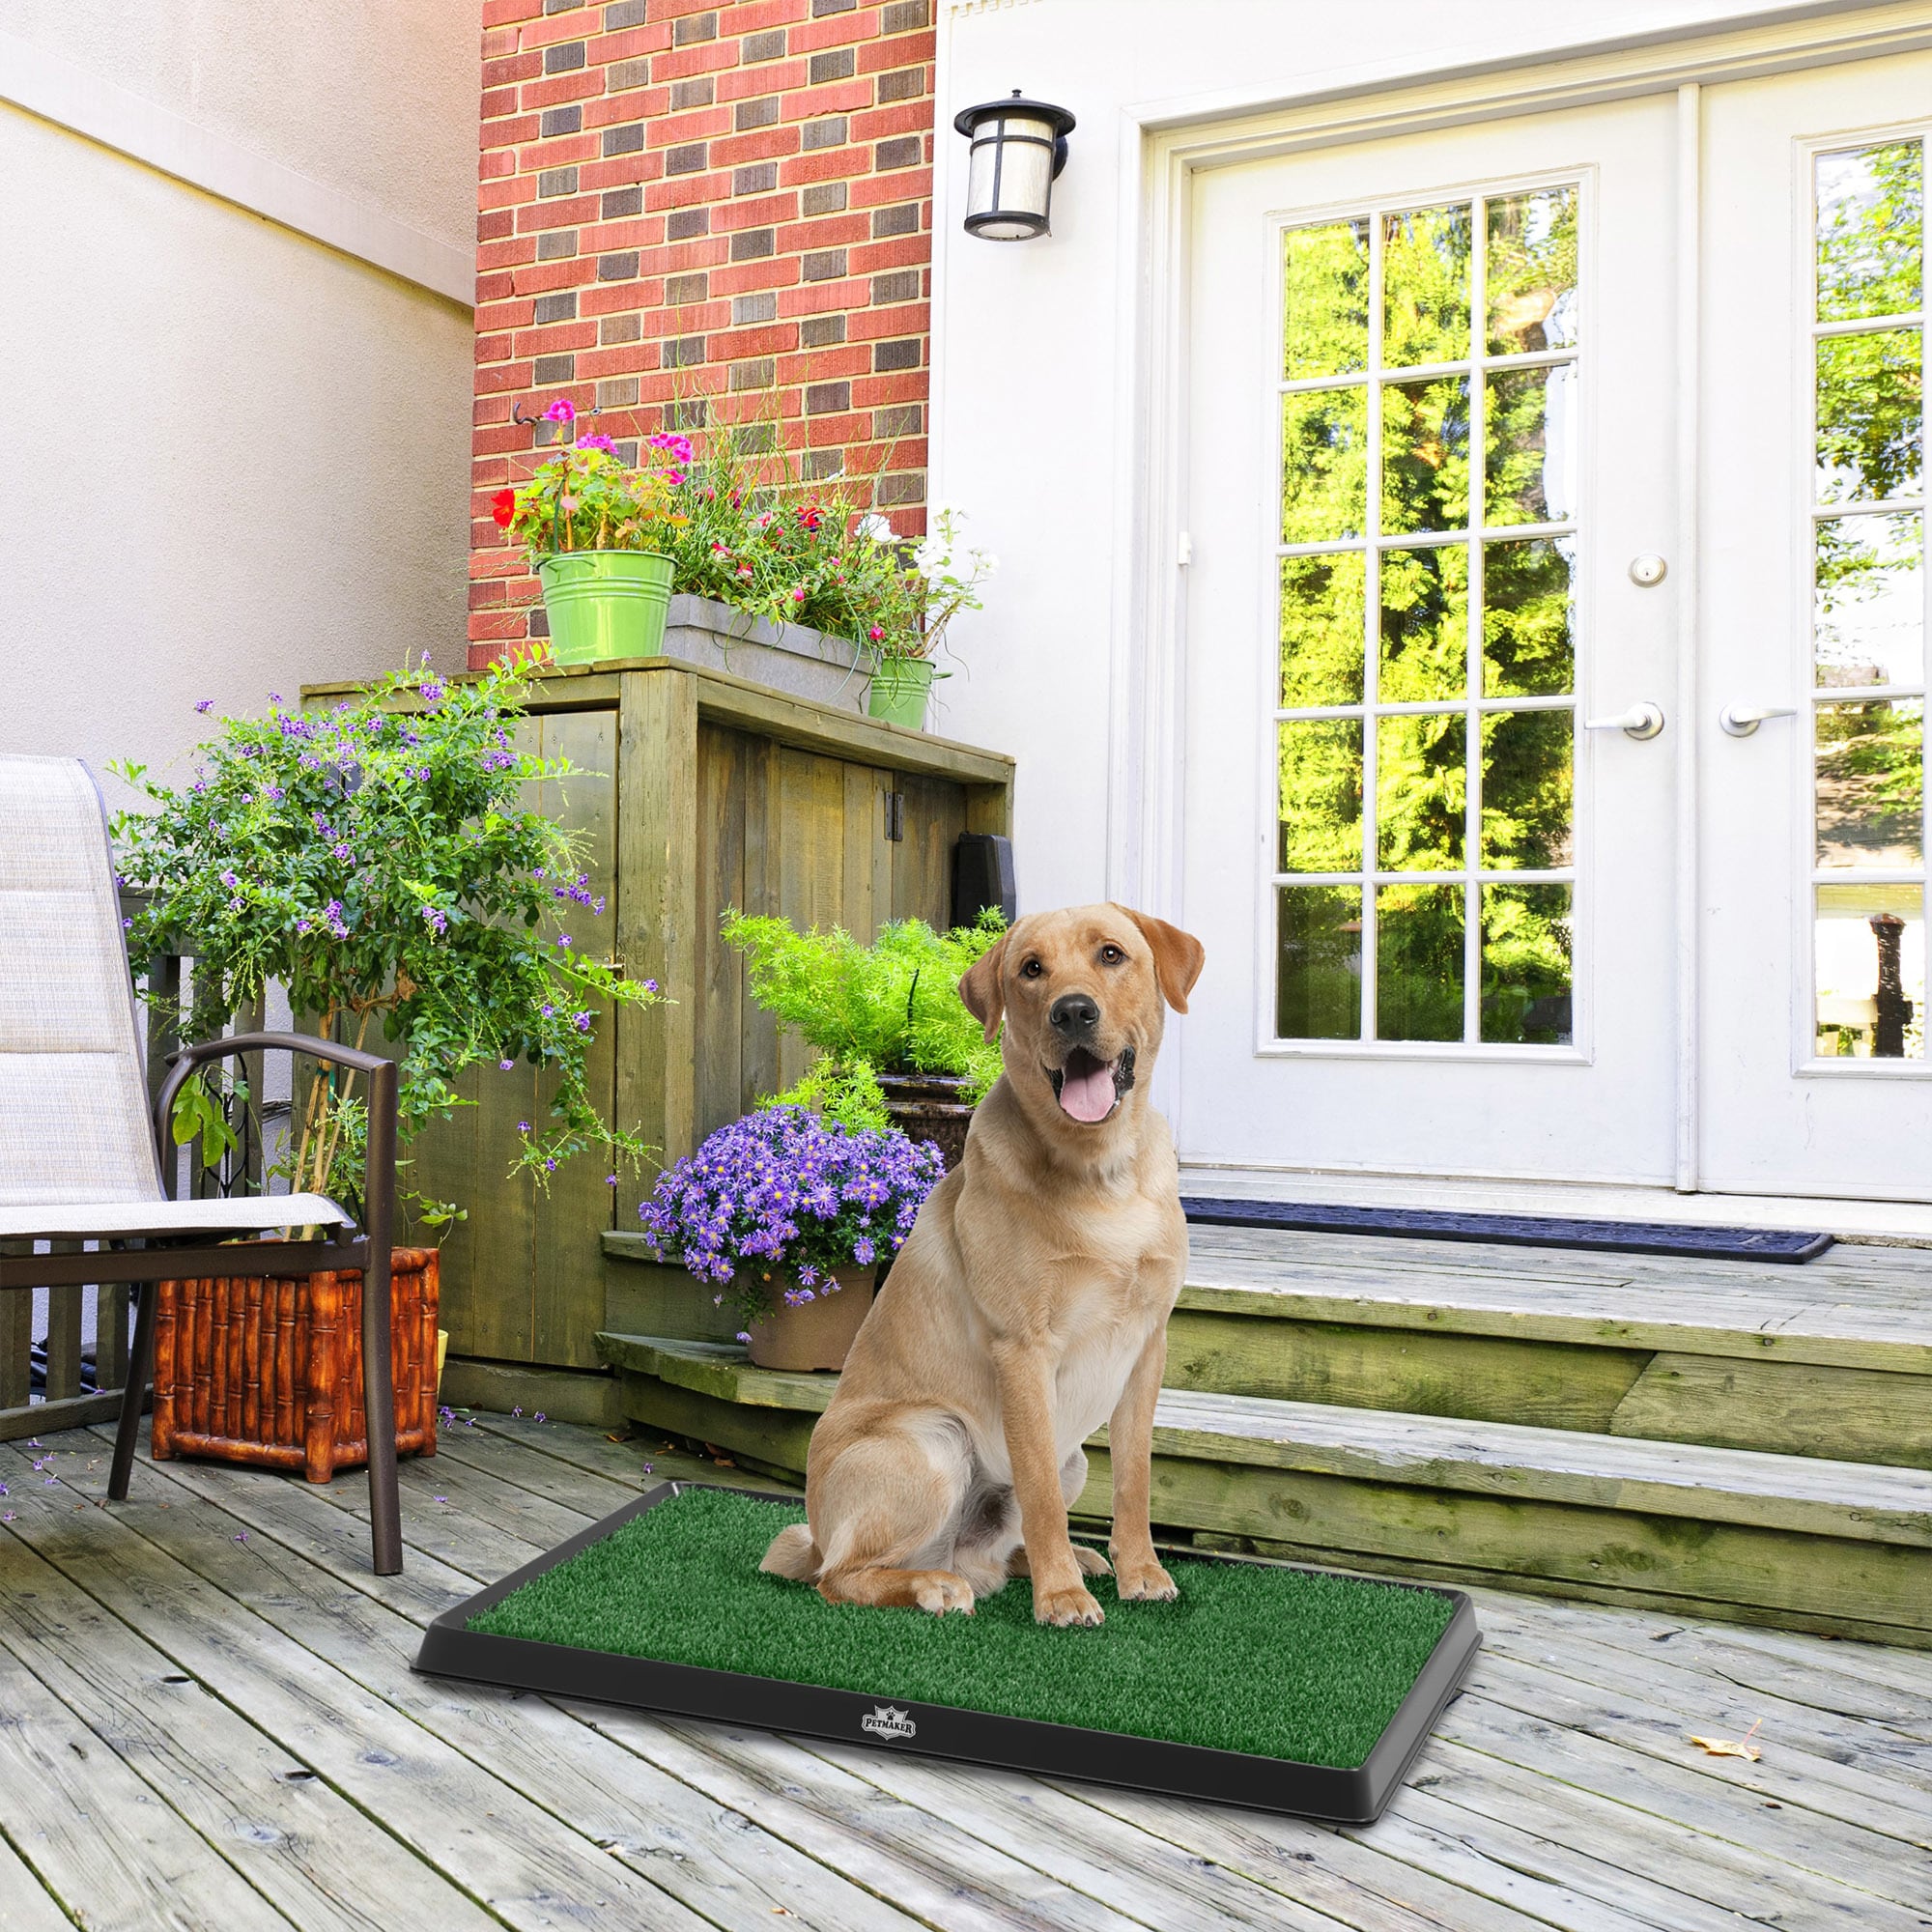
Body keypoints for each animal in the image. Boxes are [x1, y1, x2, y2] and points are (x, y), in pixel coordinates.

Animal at [757, 896, 1198, 1623]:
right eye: (1031, 969)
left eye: (1111, 954)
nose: (1072, 1012)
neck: (1103, 1172)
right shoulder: (1023, 1350)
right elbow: (1040, 1494)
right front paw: (1060, 1599)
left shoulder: (1147, 1347)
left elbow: (1134, 1480)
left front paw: (1141, 1572)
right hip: (933, 1440)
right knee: (841, 1575)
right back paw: (937, 1585)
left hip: (1070, 1459)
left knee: (990, 1554)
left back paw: (1062, 1562)